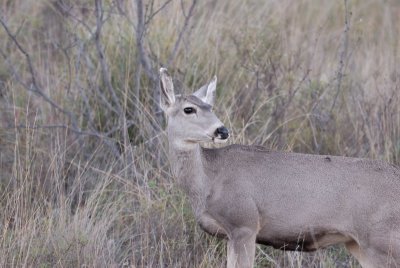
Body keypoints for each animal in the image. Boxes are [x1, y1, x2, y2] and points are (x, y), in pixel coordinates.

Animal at [159, 68, 400, 268]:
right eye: (188, 109)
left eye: (210, 107)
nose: (222, 131)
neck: (209, 179)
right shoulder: (231, 234)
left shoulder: (245, 224)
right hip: (359, 244)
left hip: (381, 241)